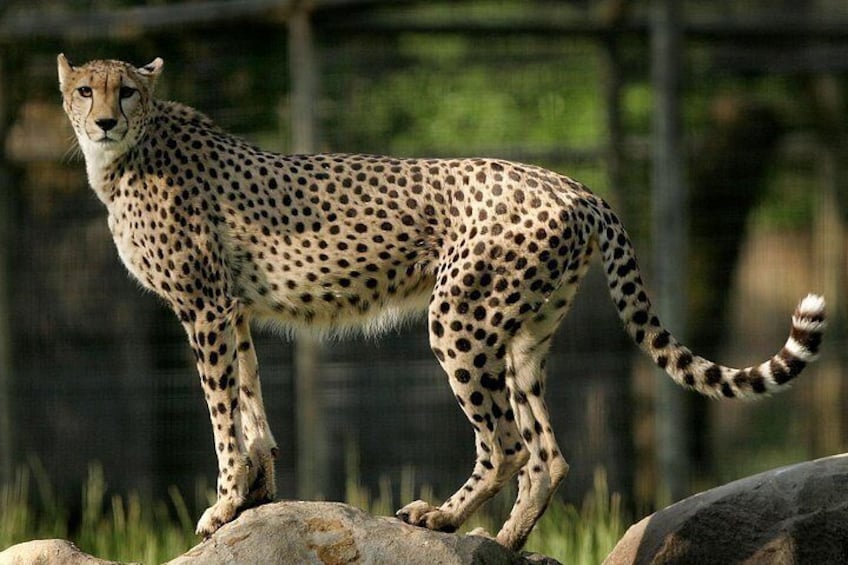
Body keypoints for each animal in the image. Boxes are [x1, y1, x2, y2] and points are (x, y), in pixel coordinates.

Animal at [57, 54, 827, 551]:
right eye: (85, 89)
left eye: (126, 91)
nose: (103, 121)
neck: (125, 157)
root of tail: (575, 185)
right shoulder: (232, 309)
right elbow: (250, 404)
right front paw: (256, 492)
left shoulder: (205, 307)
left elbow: (221, 412)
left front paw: (221, 506)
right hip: (522, 334)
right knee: (548, 454)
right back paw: (505, 540)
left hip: (458, 317)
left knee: (507, 444)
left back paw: (442, 520)